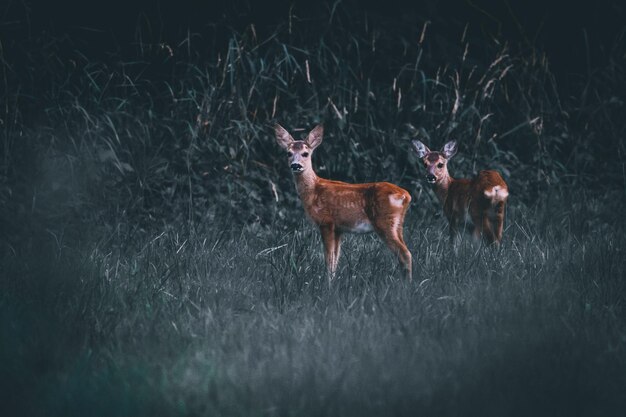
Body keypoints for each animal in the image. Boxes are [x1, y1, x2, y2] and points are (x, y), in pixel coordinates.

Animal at [274, 122, 412, 280]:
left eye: (305, 153)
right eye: (288, 153)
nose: (295, 165)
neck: (314, 190)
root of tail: (406, 195)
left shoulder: (326, 222)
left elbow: (329, 259)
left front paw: (327, 282)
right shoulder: (339, 228)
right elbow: (335, 259)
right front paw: (333, 281)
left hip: (384, 222)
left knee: (405, 254)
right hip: (397, 224)